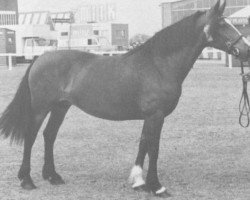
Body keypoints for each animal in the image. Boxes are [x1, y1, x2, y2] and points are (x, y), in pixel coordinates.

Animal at [0, 0, 250, 197]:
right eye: (221, 24)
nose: (246, 51)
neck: (158, 64)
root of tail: (40, 59)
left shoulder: (150, 116)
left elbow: (143, 144)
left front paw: (139, 182)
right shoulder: (156, 115)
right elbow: (154, 148)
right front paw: (157, 186)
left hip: (61, 107)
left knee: (49, 136)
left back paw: (53, 176)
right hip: (40, 108)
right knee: (31, 136)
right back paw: (27, 180)